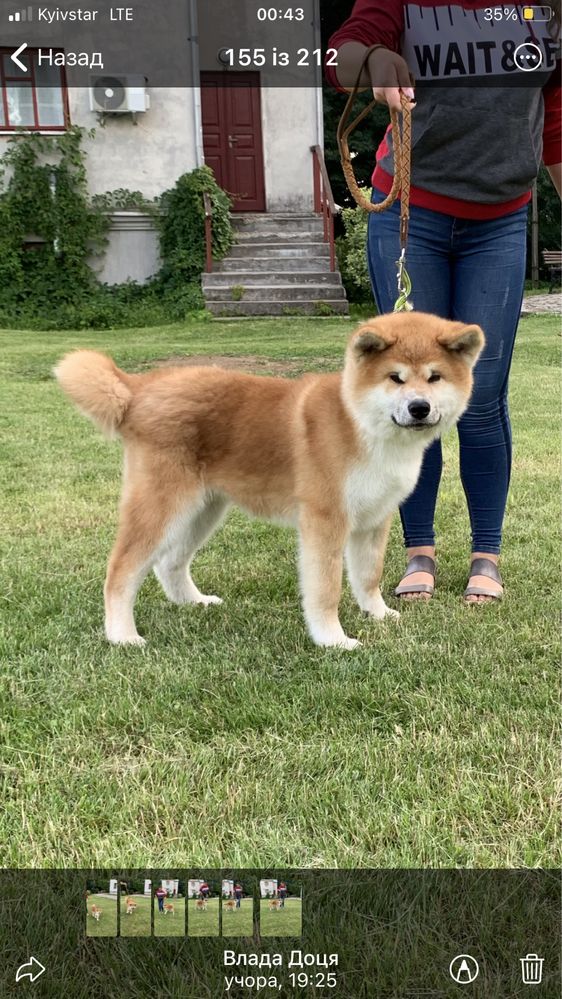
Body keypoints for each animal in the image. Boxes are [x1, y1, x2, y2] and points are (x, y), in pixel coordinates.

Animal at [53, 316, 482, 652]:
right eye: (395, 378)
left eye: (435, 377)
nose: (419, 407)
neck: (360, 425)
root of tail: (139, 389)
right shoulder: (325, 521)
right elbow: (326, 589)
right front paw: (332, 640)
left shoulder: (374, 520)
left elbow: (368, 577)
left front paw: (378, 614)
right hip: (163, 505)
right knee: (121, 571)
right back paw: (122, 636)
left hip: (203, 509)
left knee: (169, 563)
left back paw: (194, 602)